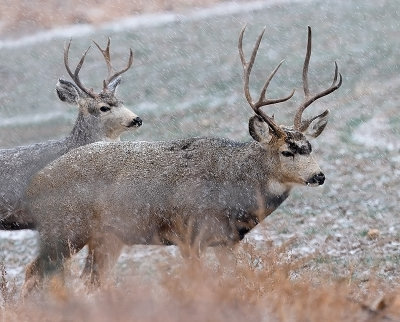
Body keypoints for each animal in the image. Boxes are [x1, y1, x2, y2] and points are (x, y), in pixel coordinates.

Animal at [21, 25, 340, 292]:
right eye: (286, 151)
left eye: (309, 147)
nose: (319, 176)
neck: (234, 185)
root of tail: (36, 182)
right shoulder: (189, 234)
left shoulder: (227, 241)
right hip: (64, 228)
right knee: (35, 271)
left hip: (105, 236)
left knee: (89, 279)